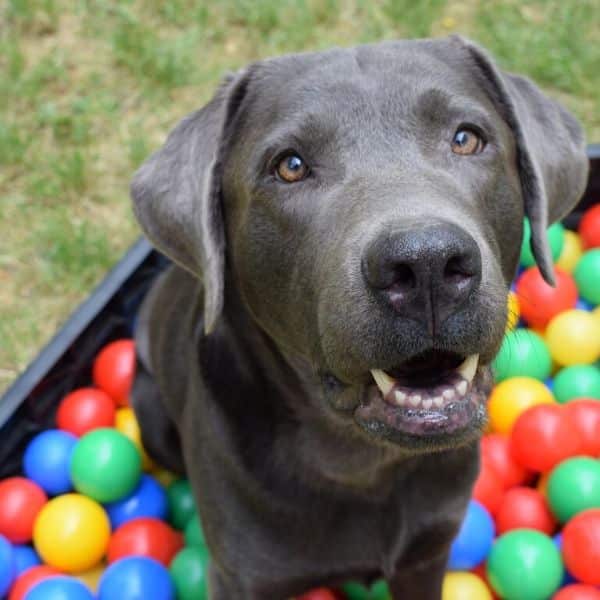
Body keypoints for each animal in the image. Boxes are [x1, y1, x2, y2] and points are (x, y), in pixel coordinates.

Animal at [130, 37, 584, 600]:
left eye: (466, 138)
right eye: (290, 166)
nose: (427, 264)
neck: (361, 462)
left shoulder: (425, 555)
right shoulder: (242, 578)